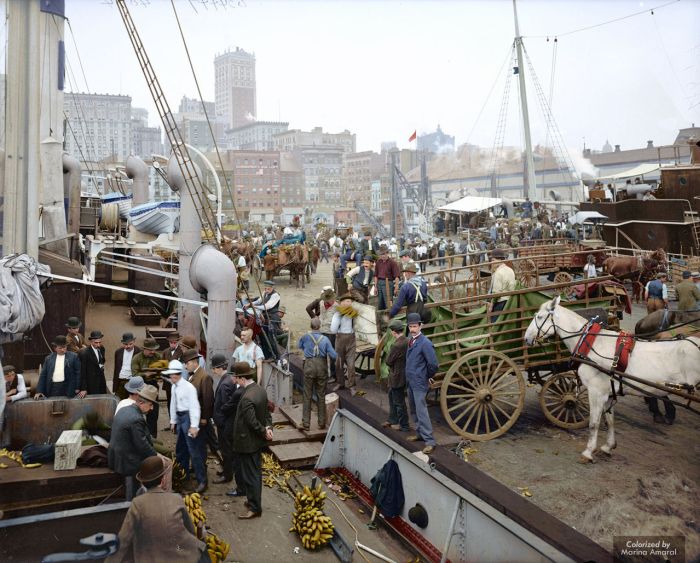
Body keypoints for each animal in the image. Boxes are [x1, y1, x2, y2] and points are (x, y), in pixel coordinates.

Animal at [524, 298, 700, 464]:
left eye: (539, 317)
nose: (526, 338)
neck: (592, 344)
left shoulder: (596, 391)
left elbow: (594, 423)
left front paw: (588, 452)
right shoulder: (607, 392)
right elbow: (609, 421)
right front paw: (608, 446)